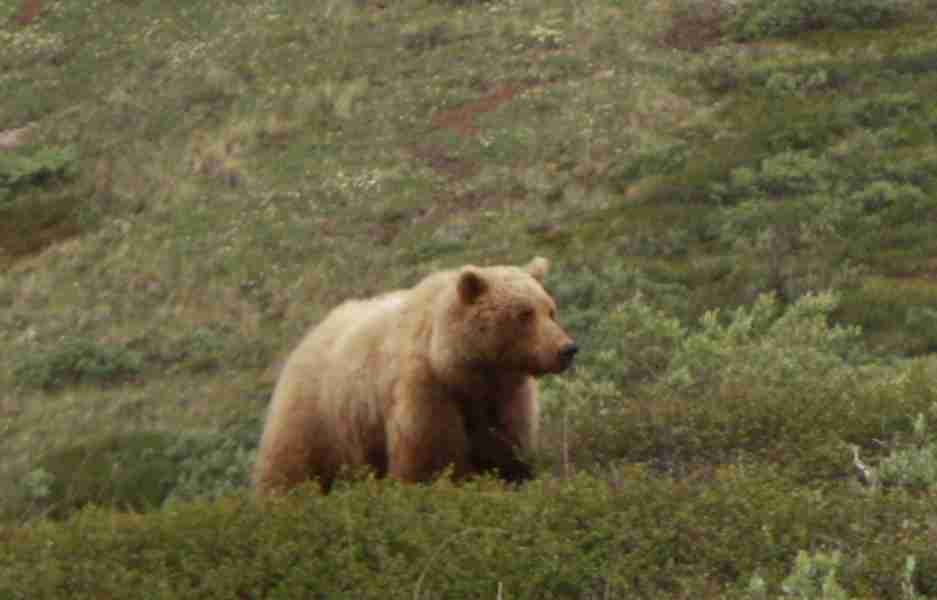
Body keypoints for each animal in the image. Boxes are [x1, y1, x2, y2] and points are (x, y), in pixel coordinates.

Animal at [252, 257, 578, 495]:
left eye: (550, 310)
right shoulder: (427, 391)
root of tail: (307, 338)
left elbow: (506, 453)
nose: (567, 349)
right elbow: (429, 461)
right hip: (316, 419)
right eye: (524, 314)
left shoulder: (503, 399)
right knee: (289, 471)